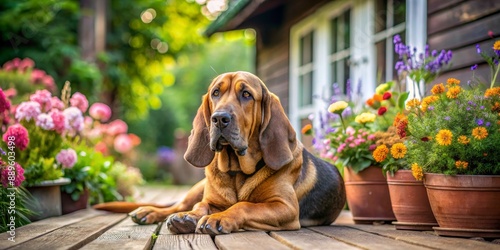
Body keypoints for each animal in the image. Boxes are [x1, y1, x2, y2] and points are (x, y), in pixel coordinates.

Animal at [119, 71, 346, 234]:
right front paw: (189, 217)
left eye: (246, 94)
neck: (236, 171)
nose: (219, 118)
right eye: (215, 93)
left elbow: (244, 206)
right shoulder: (209, 199)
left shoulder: (285, 207)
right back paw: (151, 211)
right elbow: (201, 206)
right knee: (177, 205)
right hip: (197, 188)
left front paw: (220, 217)